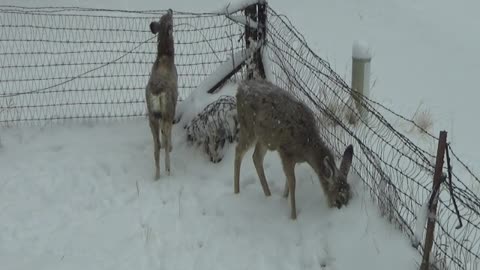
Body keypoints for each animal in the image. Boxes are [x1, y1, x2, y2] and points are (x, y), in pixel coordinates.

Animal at [234, 78, 354, 219]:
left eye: (349, 197)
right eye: (338, 199)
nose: (340, 212)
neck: (307, 147)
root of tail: (240, 87)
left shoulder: (292, 158)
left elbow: (288, 182)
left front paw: (283, 198)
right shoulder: (285, 152)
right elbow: (293, 183)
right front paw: (293, 217)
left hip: (265, 138)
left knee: (256, 157)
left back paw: (268, 194)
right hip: (248, 128)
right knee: (238, 151)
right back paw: (236, 192)